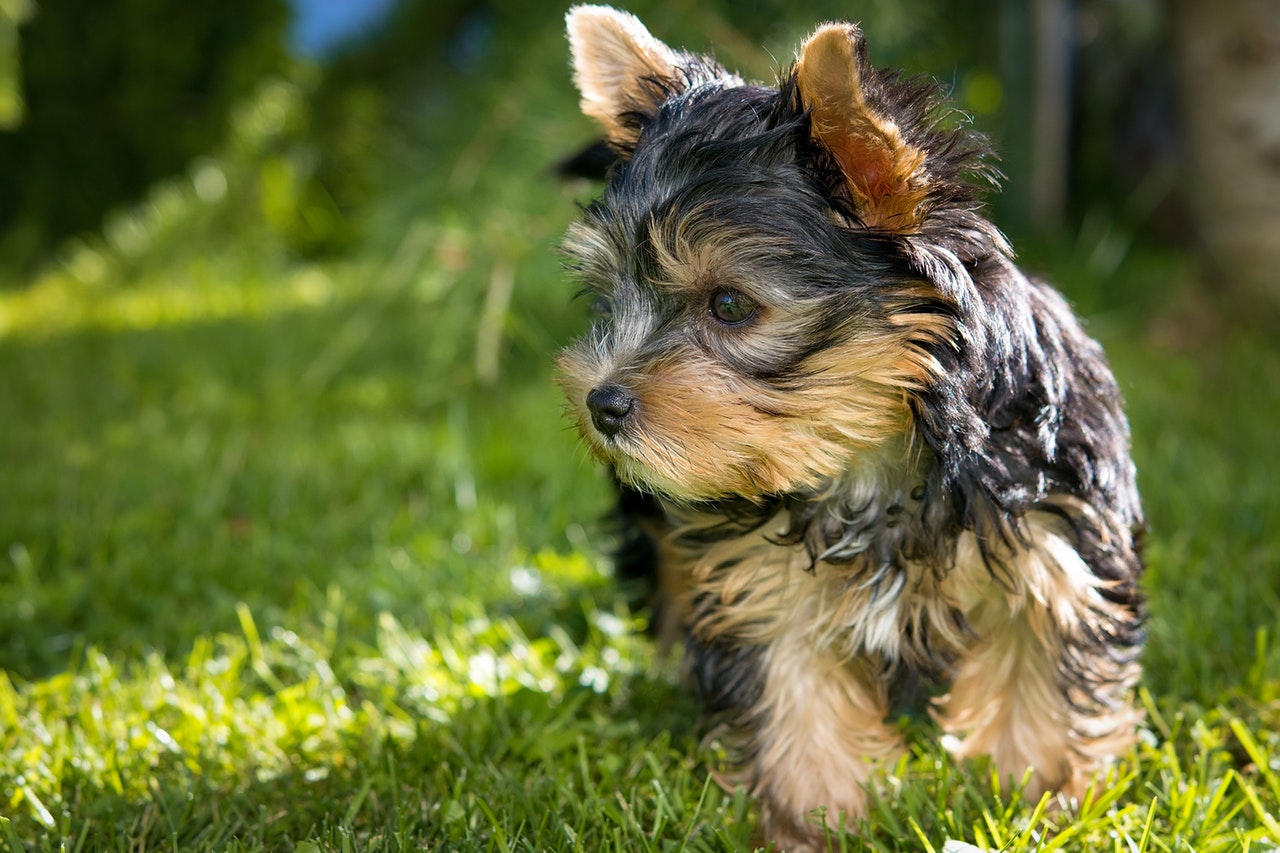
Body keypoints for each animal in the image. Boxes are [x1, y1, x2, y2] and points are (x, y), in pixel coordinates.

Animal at [555, 4, 1146, 845]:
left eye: (729, 304)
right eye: (610, 295)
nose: (601, 403)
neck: (872, 450)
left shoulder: (1055, 544)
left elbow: (1042, 670)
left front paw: (1037, 796)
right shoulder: (760, 583)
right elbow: (794, 698)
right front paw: (815, 818)